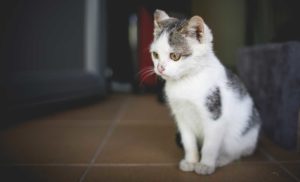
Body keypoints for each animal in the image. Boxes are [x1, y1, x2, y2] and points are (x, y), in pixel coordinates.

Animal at [149, 9, 260, 175]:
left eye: (175, 56)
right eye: (155, 55)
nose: (160, 68)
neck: (187, 81)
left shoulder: (215, 117)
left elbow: (210, 145)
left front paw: (206, 165)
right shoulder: (181, 116)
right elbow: (188, 141)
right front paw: (191, 161)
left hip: (240, 137)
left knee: (236, 152)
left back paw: (221, 159)